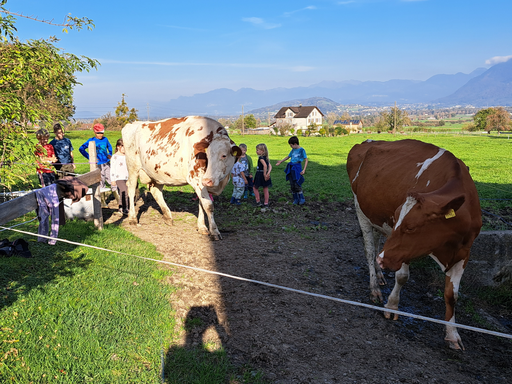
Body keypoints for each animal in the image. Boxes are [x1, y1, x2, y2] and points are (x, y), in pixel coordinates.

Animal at [346, 140, 482, 350]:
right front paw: (392, 306)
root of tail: (367, 142)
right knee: (369, 250)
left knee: (376, 243)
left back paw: (380, 273)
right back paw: (375, 287)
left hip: (376, 218)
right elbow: (402, 277)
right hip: (361, 211)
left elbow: (452, 295)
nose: (383, 260)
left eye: (410, 227)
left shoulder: (464, 251)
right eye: (397, 219)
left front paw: (452, 334)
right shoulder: (402, 249)